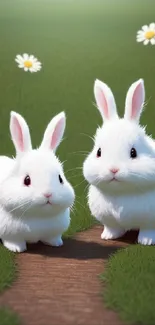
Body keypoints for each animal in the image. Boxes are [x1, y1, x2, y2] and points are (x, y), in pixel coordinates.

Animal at [0, 110, 75, 252]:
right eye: (26, 180)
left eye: (60, 178)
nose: (48, 194)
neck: (39, 216)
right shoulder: (10, 233)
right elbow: (13, 241)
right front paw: (17, 249)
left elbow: (51, 238)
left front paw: (56, 243)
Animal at [82, 78, 155, 244]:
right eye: (99, 152)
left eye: (133, 152)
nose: (113, 169)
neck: (120, 192)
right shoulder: (109, 220)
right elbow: (112, 228)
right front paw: (108, 236)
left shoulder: (150, 221)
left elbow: (148, 230)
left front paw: (146, 241)